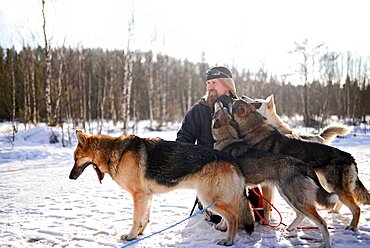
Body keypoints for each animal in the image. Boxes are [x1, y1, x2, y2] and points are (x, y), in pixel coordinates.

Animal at [68, 130, 254, 246]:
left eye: (76, 159)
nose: (70, 177)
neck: (114, 152)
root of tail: (232, 159)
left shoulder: (139, 195)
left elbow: (136, 219)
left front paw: (131, 236)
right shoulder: (147, 196)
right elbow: (144, 218)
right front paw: (140, 234)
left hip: (208, 198)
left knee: (233, 217)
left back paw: (228, 241)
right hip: (214, 198)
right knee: (232, 215)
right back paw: (222, 228)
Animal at [231, 98, 370, 231]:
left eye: (257, 102)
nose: (240, 96)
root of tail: (349, 156)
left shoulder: (266, 184)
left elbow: (266, 205)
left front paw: (266, 221)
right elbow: (270, 204)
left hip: (334, 186)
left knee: (356, 208)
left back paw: (352, 226)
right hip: (329, 186)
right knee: (344, 201)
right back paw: (334, 212)